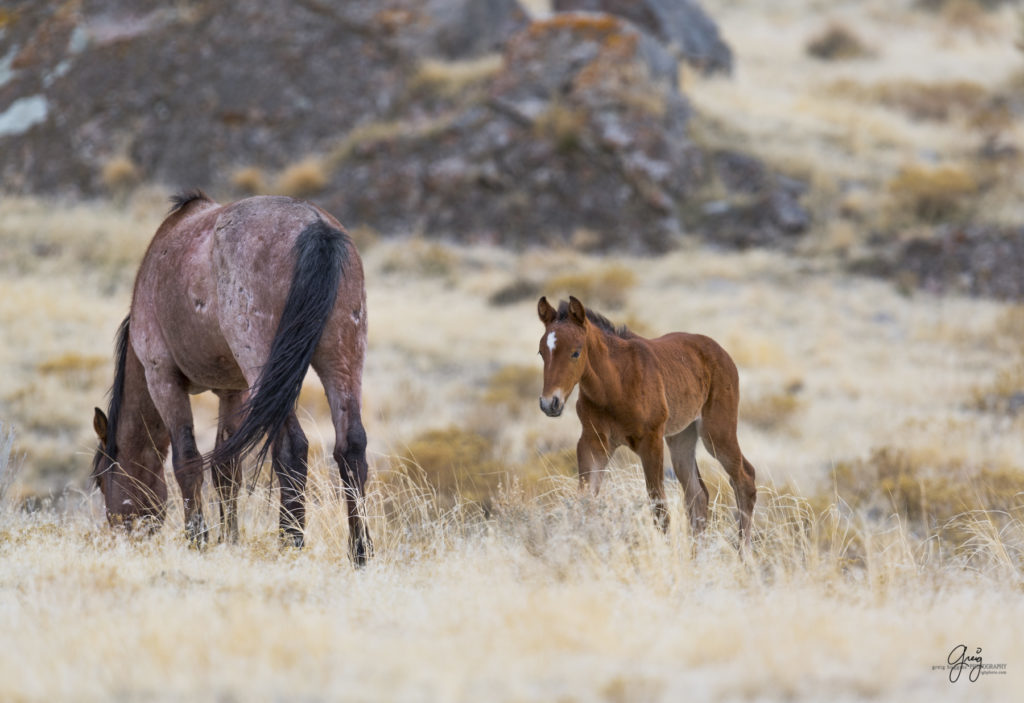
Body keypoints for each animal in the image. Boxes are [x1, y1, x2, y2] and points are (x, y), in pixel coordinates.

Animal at [91, 189, 372, 564]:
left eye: (99, 479)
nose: (119, 536)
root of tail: (316, 228)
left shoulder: (161, 376)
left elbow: (187, 461)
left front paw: (197, 540)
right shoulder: (232, 390)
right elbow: (226, 469)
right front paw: (229, 540)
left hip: (264, 363)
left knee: (292, 448)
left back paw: (290, 542)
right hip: (343, 358)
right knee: (351, 447)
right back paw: (360, 552)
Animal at [540, 296, 757, 548]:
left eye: (576, 352)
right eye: (541, 352)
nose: (549, 403)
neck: (614, 386)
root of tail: (721, 352)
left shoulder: (651, 441)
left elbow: (659, 507)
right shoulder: (593, 442)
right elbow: (585, 501)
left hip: (717, 432)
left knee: (744, 479)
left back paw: (743, 552)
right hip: (681, 437)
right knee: (697, 496)